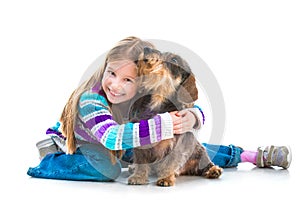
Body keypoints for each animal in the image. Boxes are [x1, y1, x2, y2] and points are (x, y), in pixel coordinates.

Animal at [127, 47, 223, 186]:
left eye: (174, 60)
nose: (147, 48)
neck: (158, 100)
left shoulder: (176, 146)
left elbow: (170, 162)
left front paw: (166, 178)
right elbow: (141, 161)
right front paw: (138, 176)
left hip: (200, 151)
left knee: (206, 163)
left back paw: (214, 170)